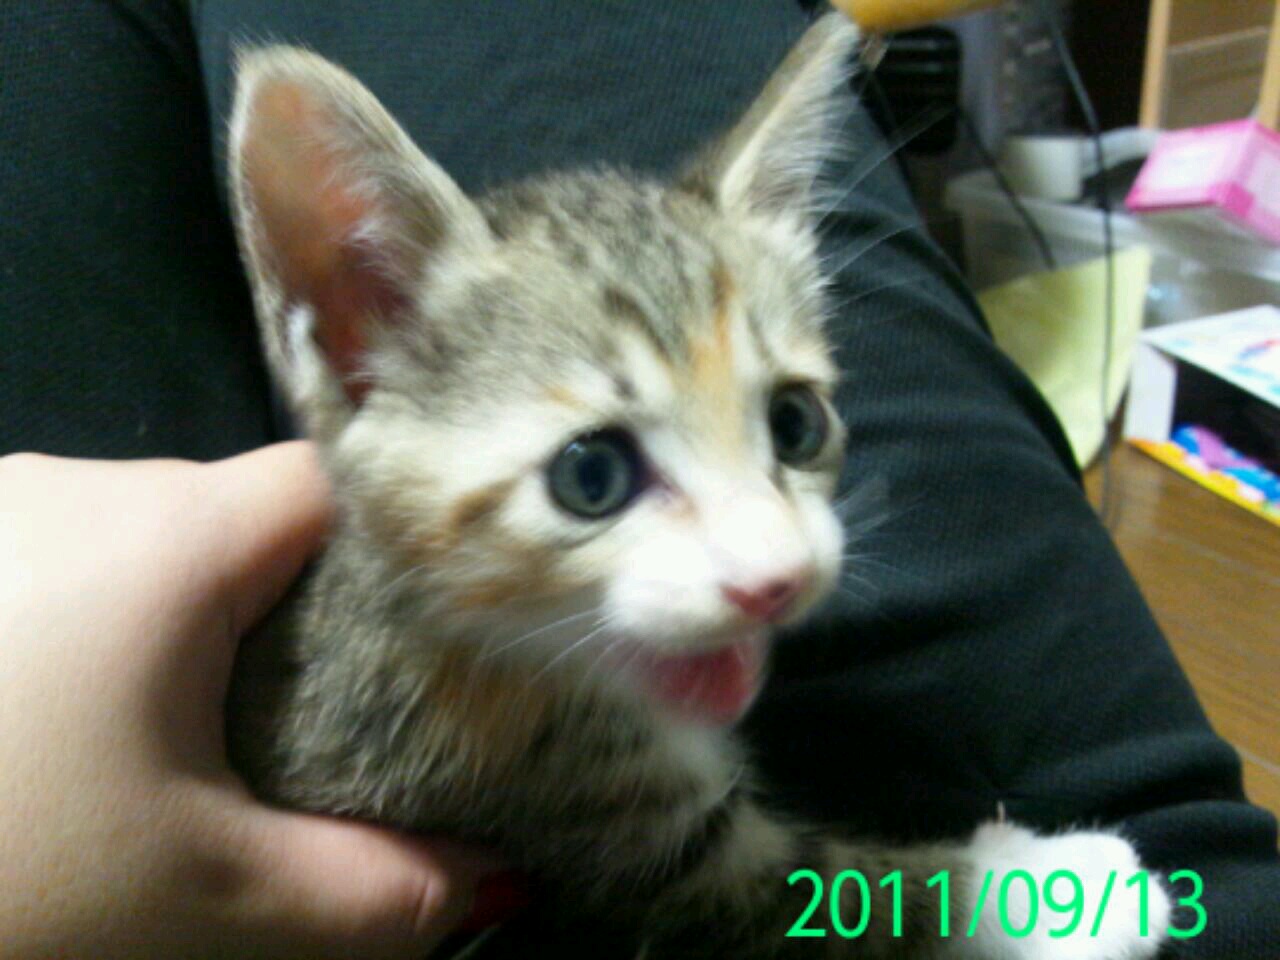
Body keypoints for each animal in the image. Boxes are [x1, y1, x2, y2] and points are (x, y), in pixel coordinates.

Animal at [225, 13, 1171, 958]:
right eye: (591, 475)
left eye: (796, 423)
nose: (779, 579)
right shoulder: (572, 822)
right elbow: (823, 895)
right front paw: (1055, 891)